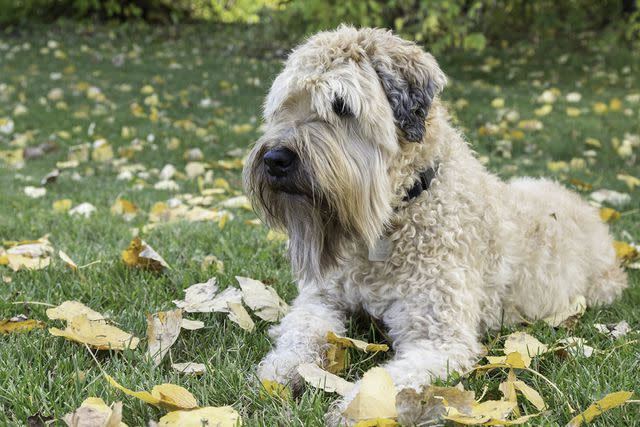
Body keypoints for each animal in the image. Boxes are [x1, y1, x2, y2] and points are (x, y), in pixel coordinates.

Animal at [242, 25, 628, 422]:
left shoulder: (438, 338)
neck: (398, 212)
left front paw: (354, 408)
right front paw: (279, 373)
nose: (275, 159)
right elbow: (300, 333)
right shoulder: (321, 298)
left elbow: (388, 381)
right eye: (285, 104)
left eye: (341, 106)